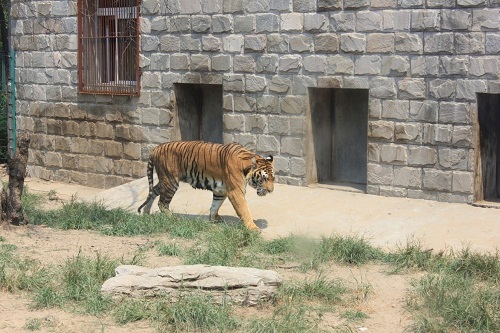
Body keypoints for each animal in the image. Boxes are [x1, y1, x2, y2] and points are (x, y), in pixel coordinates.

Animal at [139, 140, 276, 231]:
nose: (271, 191)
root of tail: (156, 148)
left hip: (165, 180)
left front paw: (214, 219)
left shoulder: (221, 190)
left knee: (153, 191)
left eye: (273, 178)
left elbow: (215, 205)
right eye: (264, 178)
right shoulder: (235, 191)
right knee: (162, 203)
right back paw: (174, 219)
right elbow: (244, 210)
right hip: (170, 181)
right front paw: (253, 228)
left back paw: (146, 213)